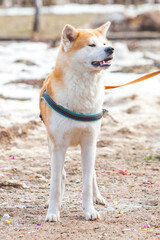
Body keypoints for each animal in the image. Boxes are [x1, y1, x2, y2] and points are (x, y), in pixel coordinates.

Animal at [38, 22, 114, 221]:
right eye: (91, 45)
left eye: (104, 43)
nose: (111, 49)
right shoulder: (58, 145)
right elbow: (56, 183)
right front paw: (53, 212)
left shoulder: (89, 142)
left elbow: (87, 182)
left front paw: (90, 210)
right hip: (51, 143)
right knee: (61, 175)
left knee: (92, 175)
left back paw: (97, 197)